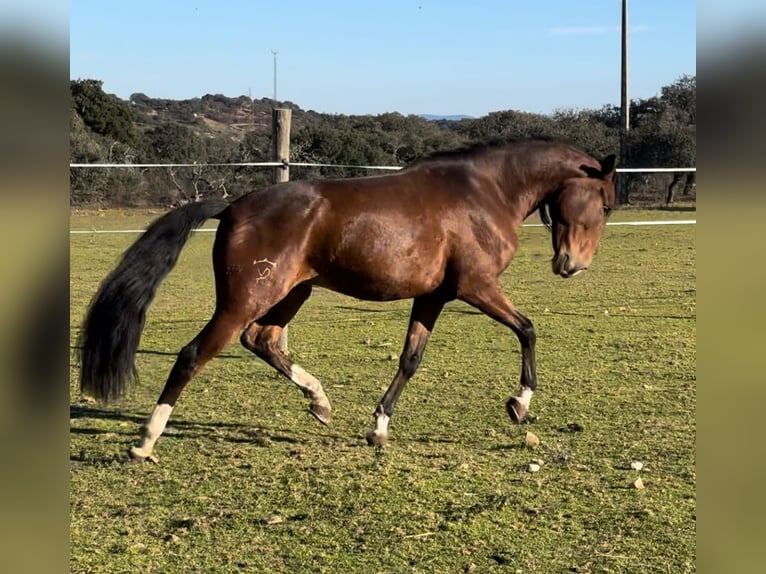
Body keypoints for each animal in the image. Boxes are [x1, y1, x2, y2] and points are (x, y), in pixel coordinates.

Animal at [78, 141, 616, 464]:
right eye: (606, 203)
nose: (572, 265)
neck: (486, 192)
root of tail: (233, 205)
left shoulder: (434, 296)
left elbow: (410, 359)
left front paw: (378, 428)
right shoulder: (476, 287)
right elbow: (527, 328)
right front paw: (519, 405)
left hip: (292, 292)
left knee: (263, 340)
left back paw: (319, 401)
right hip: (245, 299)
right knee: (194, 355)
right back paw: (145, 441)